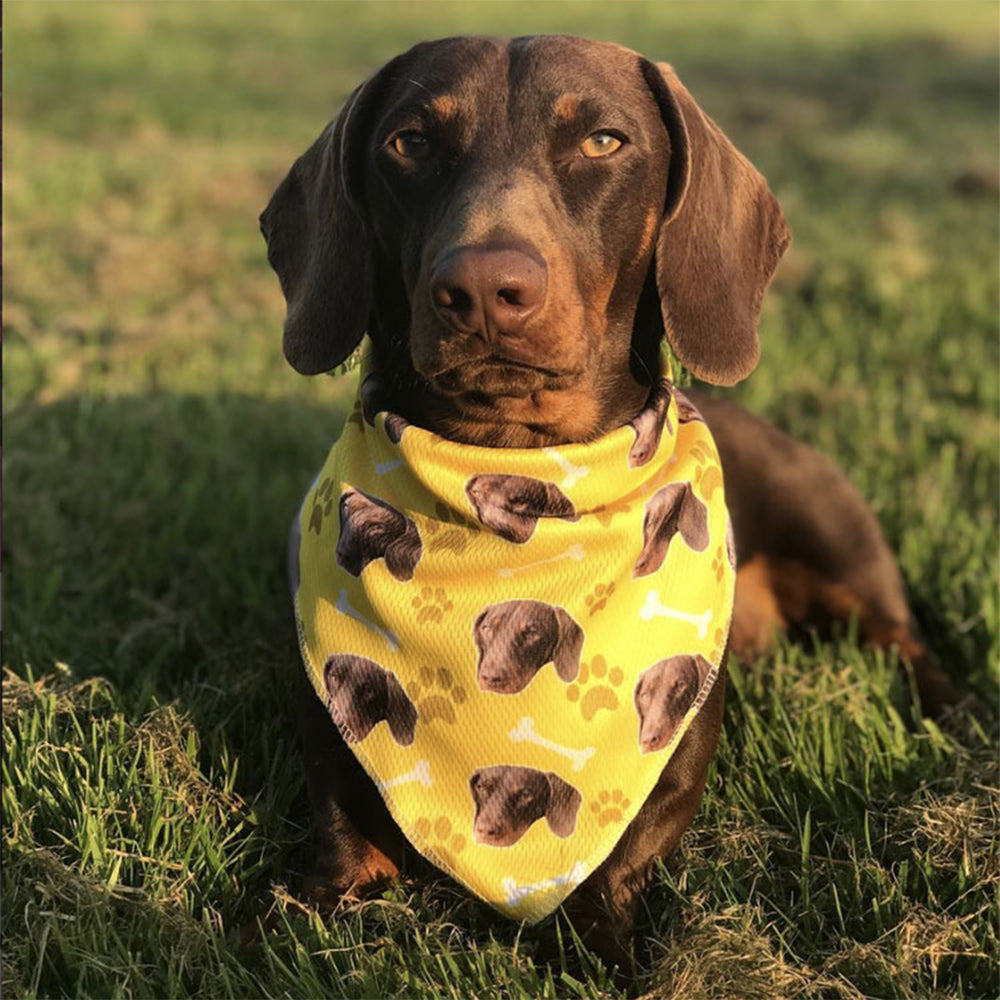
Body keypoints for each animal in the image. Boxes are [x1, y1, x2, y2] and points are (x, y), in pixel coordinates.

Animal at [262, 35, 964, 964]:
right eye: (408, 142)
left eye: (602, 141)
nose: (483, 289)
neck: (521, 479)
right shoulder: (330, 768)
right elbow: (323, 862)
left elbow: (622, 860)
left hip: (839, 546)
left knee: (904, 639)